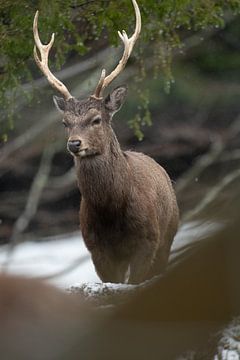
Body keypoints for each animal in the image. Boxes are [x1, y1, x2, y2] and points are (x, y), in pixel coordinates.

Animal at [32, 0, 178, 284]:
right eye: (65, 123)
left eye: (96, 119)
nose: (74, 144)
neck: (111, 212)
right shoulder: (96, 247)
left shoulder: (148, 239)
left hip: (169, 234)